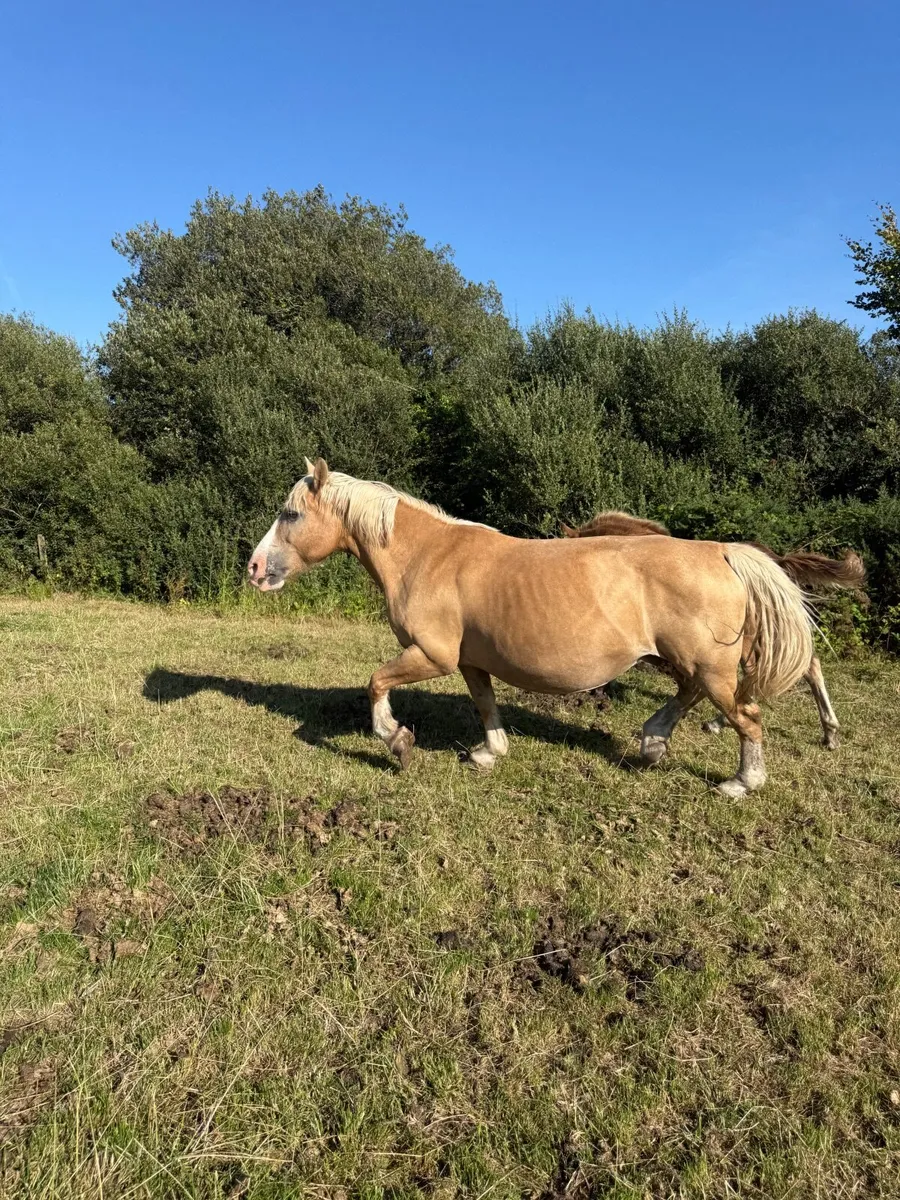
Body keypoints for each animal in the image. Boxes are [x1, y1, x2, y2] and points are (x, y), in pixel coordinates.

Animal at [248, 459, 825, 798]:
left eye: (291, 515)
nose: (254, 568)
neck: (427, 556)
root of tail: (723, 553)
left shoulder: (431, 655)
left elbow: (376, 683)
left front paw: (396, 740)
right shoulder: (469, 661)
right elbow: (485, 706)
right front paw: (488, 753)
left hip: (708, 665)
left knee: (746, 717)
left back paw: (742, 781)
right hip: (686, 661)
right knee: (691, 696)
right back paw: (653, 742)